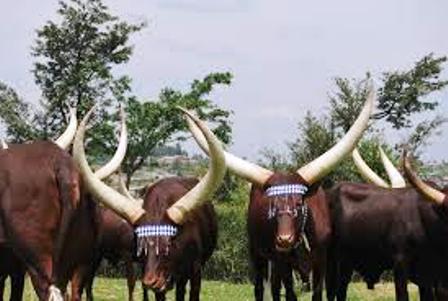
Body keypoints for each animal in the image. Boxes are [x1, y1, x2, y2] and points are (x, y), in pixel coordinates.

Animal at [73, 106, 228, 298]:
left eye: (170, 241)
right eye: (141, 243)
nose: (153, 280)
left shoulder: (196, 271)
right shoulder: (136, 261)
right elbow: (136, 284)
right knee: (88, 280)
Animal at [185, 91, 374, 298]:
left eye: (299, 204)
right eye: (272, 206)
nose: (284, 239)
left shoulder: (320, 261)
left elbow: (316, 293)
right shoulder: (282, 262)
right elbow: (289, 293)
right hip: (258, 254)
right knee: (261, 287)